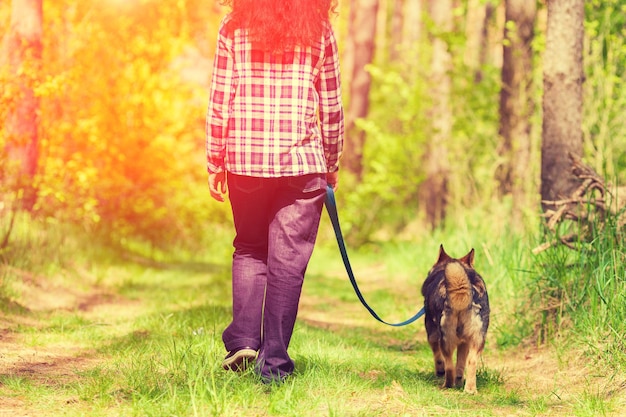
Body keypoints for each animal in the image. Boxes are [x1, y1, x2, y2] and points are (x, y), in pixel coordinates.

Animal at [420, 244, 488, 394]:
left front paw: (439, 371)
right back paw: (469, 390)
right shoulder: (464, 343)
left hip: (446, 339)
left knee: (449, 365)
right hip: (477, 339)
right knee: (471, 362)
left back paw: (447, 385)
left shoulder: (432, 332)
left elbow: (437, 355)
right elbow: (461, 364)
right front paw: (460, 380)